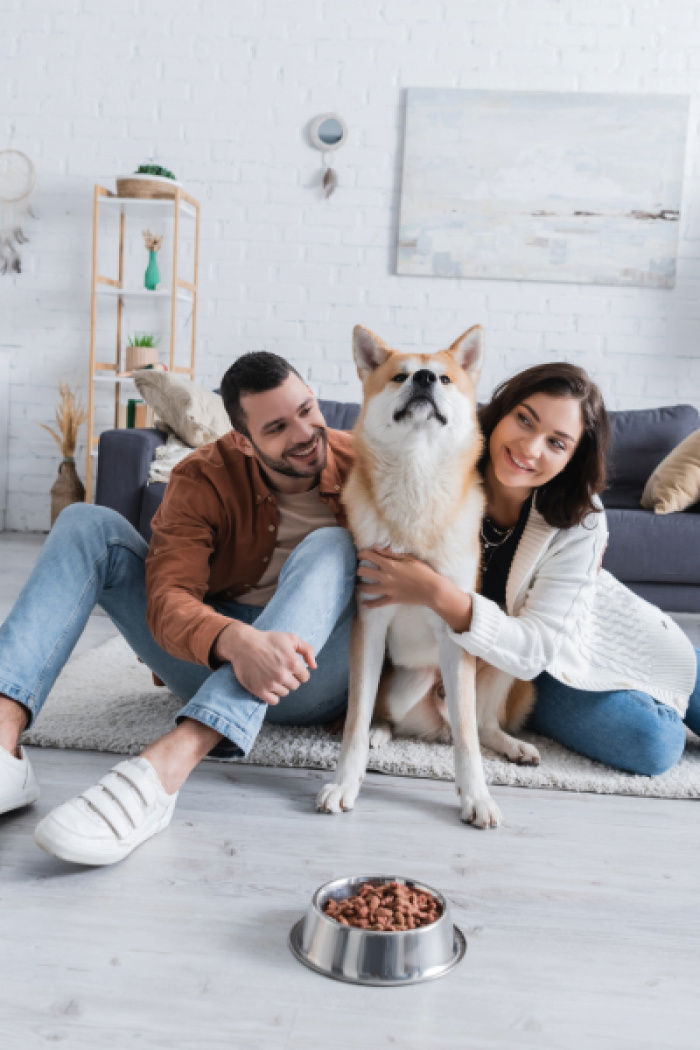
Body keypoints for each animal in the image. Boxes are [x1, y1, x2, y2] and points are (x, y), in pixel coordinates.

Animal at [316, 323, 541, 823]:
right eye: (400, 376)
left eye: (445, 378)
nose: (423, 378)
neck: (416, 481)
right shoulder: (370, 623)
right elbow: (354, 722)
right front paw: (344, 782)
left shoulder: (455, 631)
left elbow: (470, 741)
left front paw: (476, 795)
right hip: (397, 682)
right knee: (384, 714)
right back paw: (381, 732)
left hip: (495, 657)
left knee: (478, 724)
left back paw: (512, 745)